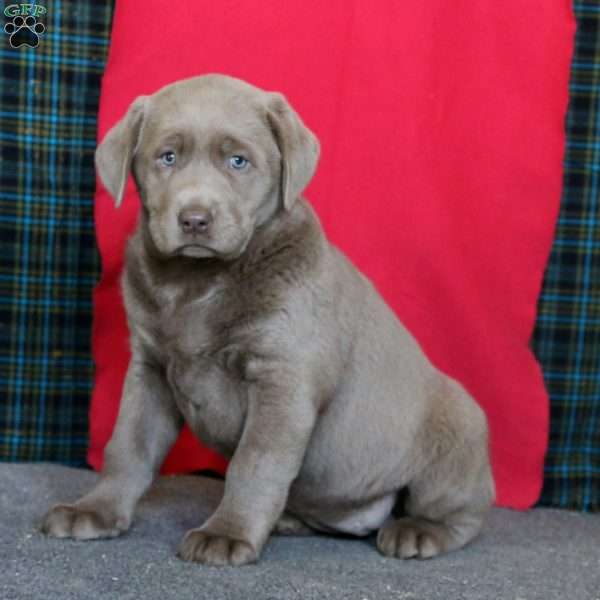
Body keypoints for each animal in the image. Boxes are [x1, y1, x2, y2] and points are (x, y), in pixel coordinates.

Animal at [41, 72, 492, 564]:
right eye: (168, 157)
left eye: (238, 161)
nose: (194, 219)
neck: (196, 281)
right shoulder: (150, 369)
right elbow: (129, 445)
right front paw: (95, 511)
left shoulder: (283, 379)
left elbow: (255, 463)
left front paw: (227, 534)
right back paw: (289, 521)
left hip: (456, 431)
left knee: (465, 513)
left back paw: (418, 532)